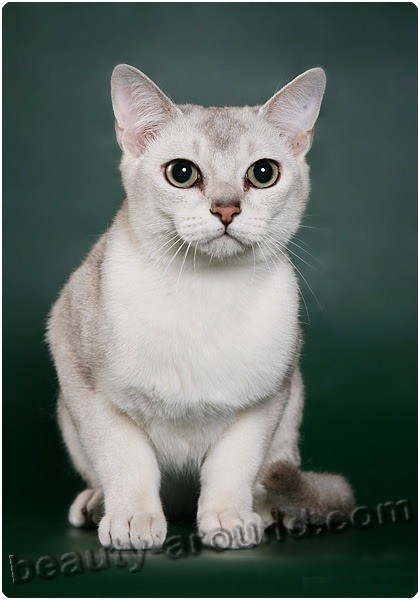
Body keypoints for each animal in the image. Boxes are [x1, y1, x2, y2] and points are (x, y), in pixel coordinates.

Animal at [46, 64, 354, 548]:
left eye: (263, 173)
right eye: (182, 173)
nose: (226, 210)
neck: (205, 294)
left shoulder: (265, 399)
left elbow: (232, 468)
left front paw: (228, 520)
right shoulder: (83, 376)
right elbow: (126, 462)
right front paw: (133, 521)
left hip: (292, 411)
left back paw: (273, 511)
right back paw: (96, 505)